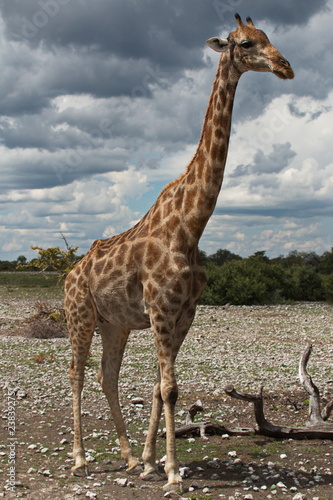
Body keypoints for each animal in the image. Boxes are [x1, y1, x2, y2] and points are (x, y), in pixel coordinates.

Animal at [65, 13, 294, 490]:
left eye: (269, 37)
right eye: (246, 43)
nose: (286, 67)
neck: (190, 228)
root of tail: (68, 274)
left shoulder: (183, 312)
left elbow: (159, 386)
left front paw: (151, 462)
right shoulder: (160, 308)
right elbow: (169, 387)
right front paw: (172, 471)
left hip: (114, 323)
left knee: (107, 376)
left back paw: (127, 458)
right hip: (79, 314)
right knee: (77, 374)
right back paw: (79, 460)